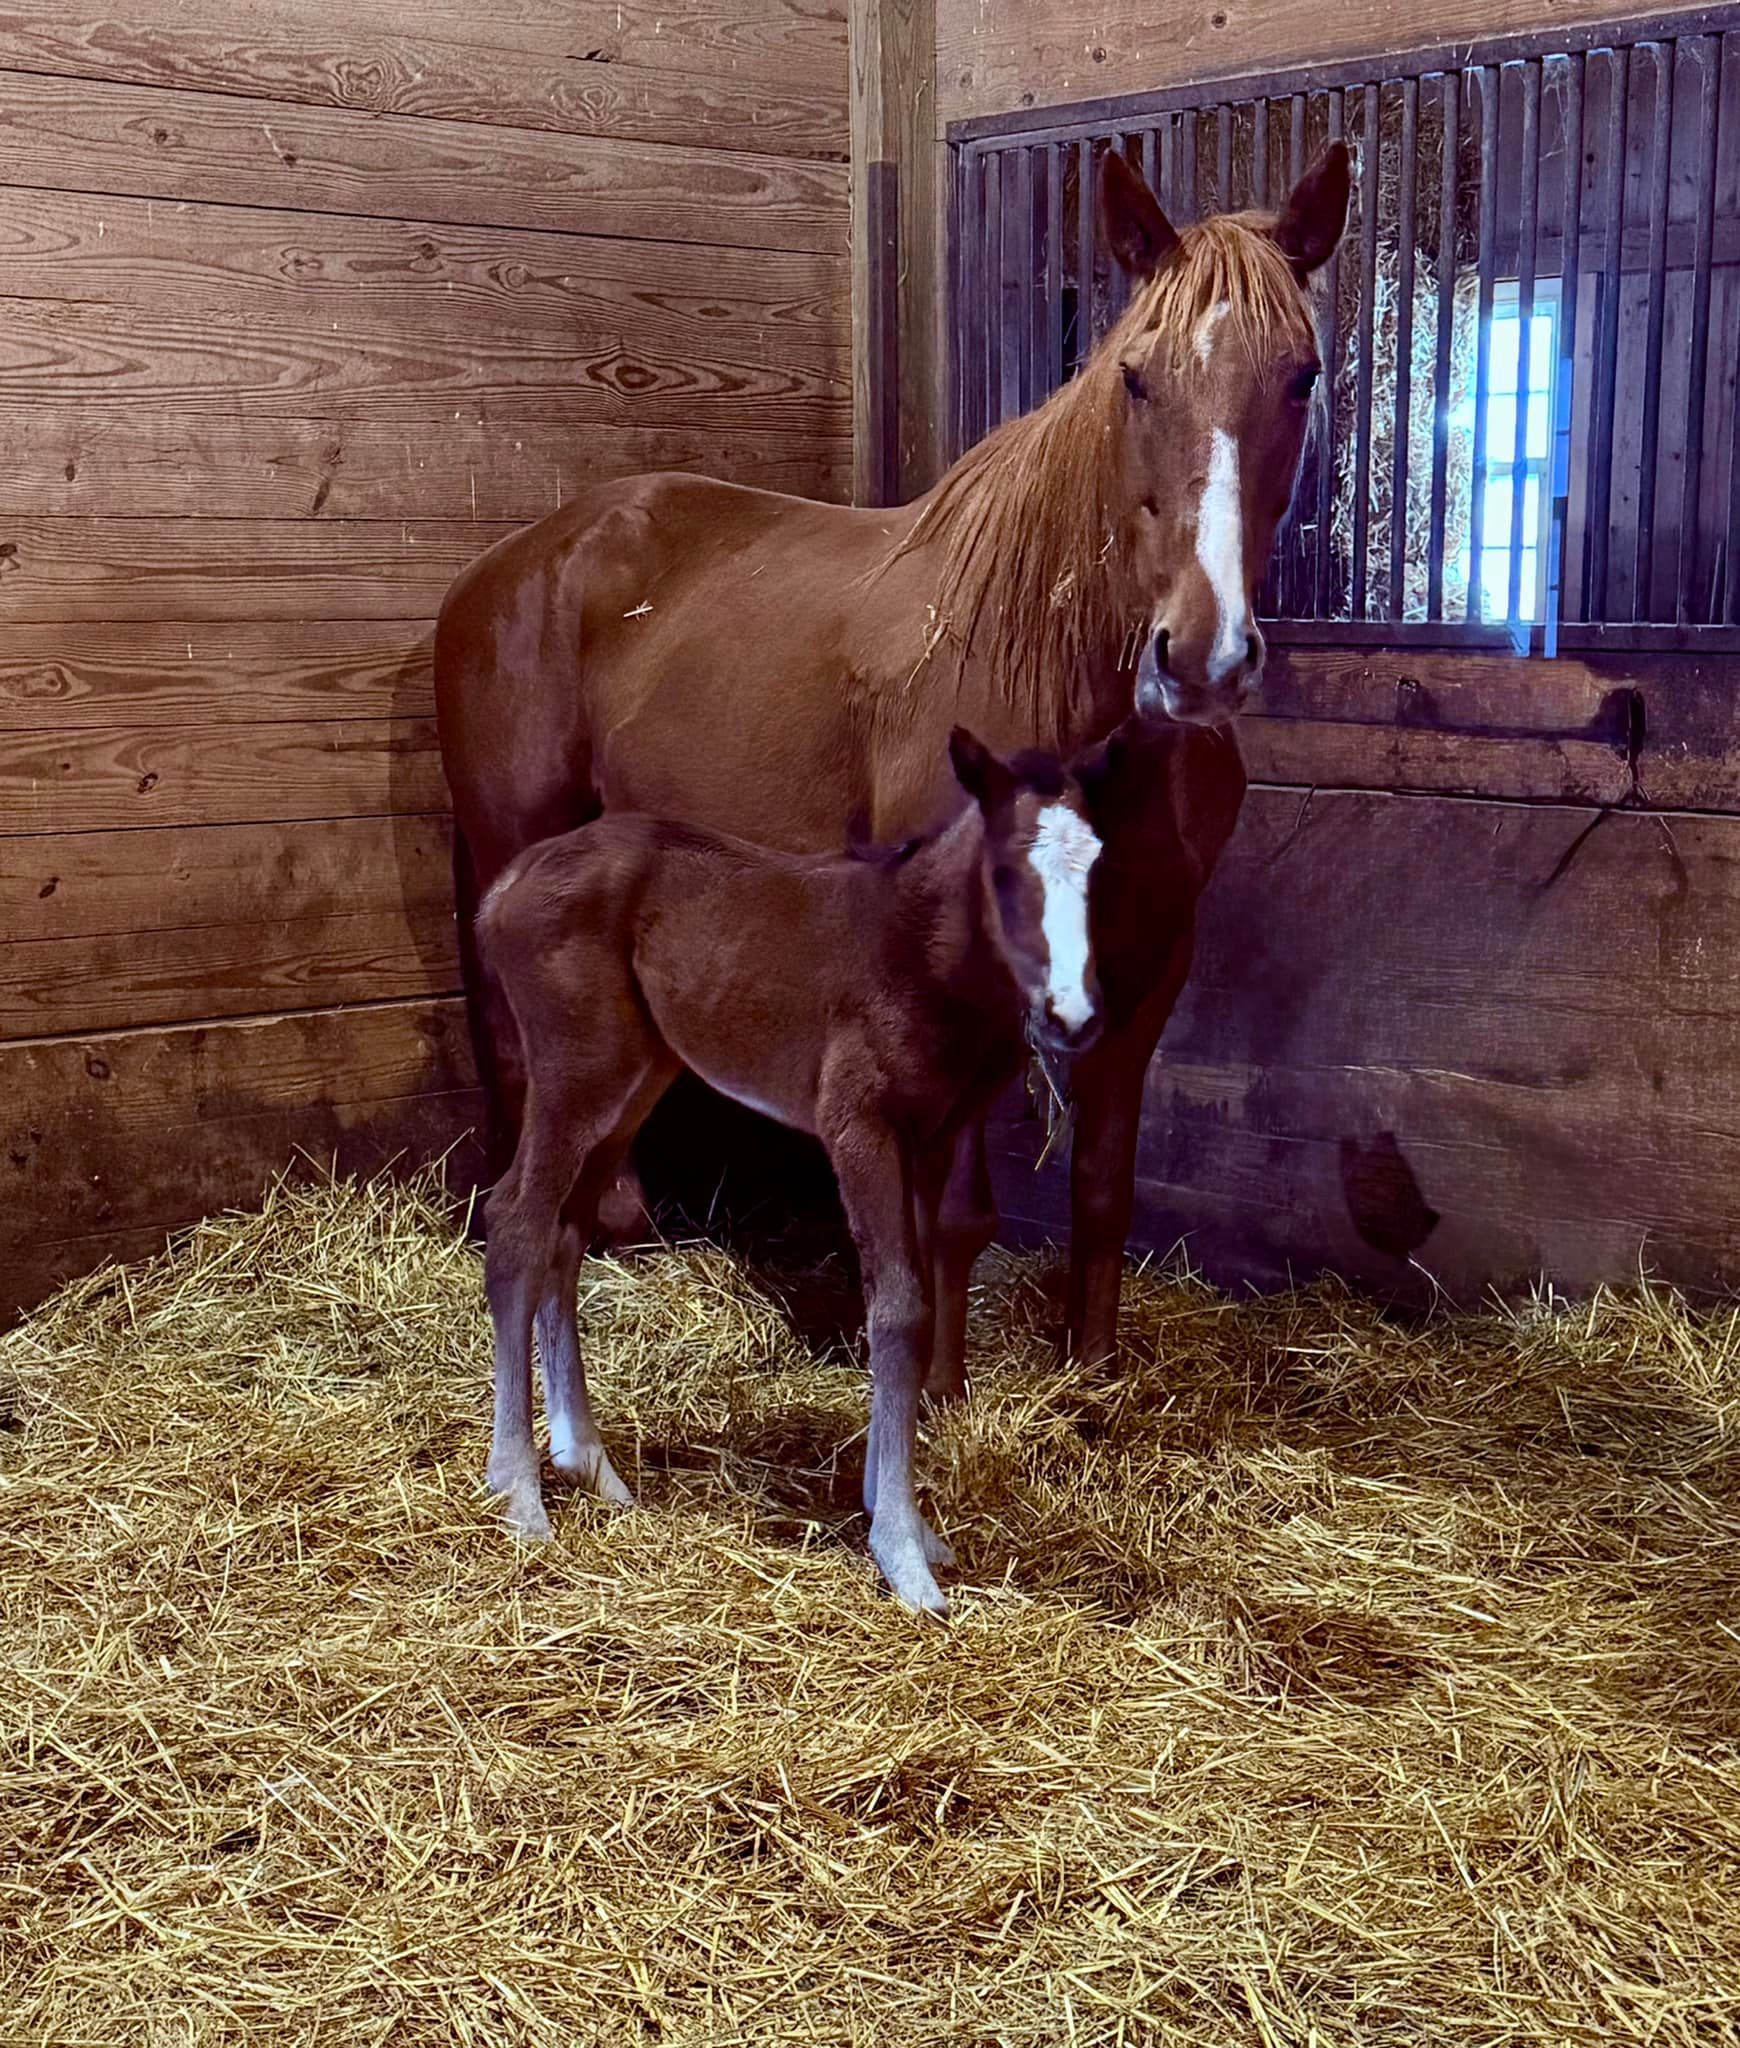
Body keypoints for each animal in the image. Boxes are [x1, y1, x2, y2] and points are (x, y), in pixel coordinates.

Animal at [434, 142, 1350, 1382]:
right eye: (1136, 379)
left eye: (1300, 377)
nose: (1201, 658)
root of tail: (508, 562)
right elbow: (955, 1210)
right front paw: (943, 1391)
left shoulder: (1153, 954)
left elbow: (1101, 1192)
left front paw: (1091, 1374)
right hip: (513, 847)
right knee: (516, 1046)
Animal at [475, 728, 1105, 1615]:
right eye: (1007, 872)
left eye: (1101, 867)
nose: (1072, 1017)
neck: (918, 952)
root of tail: (506, 885)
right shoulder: (860, 1128)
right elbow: (899, 1310)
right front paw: (901, 1551)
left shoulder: (934, 1140)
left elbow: (918, 1296)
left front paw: (906, 1521)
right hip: (576, 1072)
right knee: (516, 1225)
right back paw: (521, 1494)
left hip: (634, 1077)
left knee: (566, 1235)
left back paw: (592, 1466)